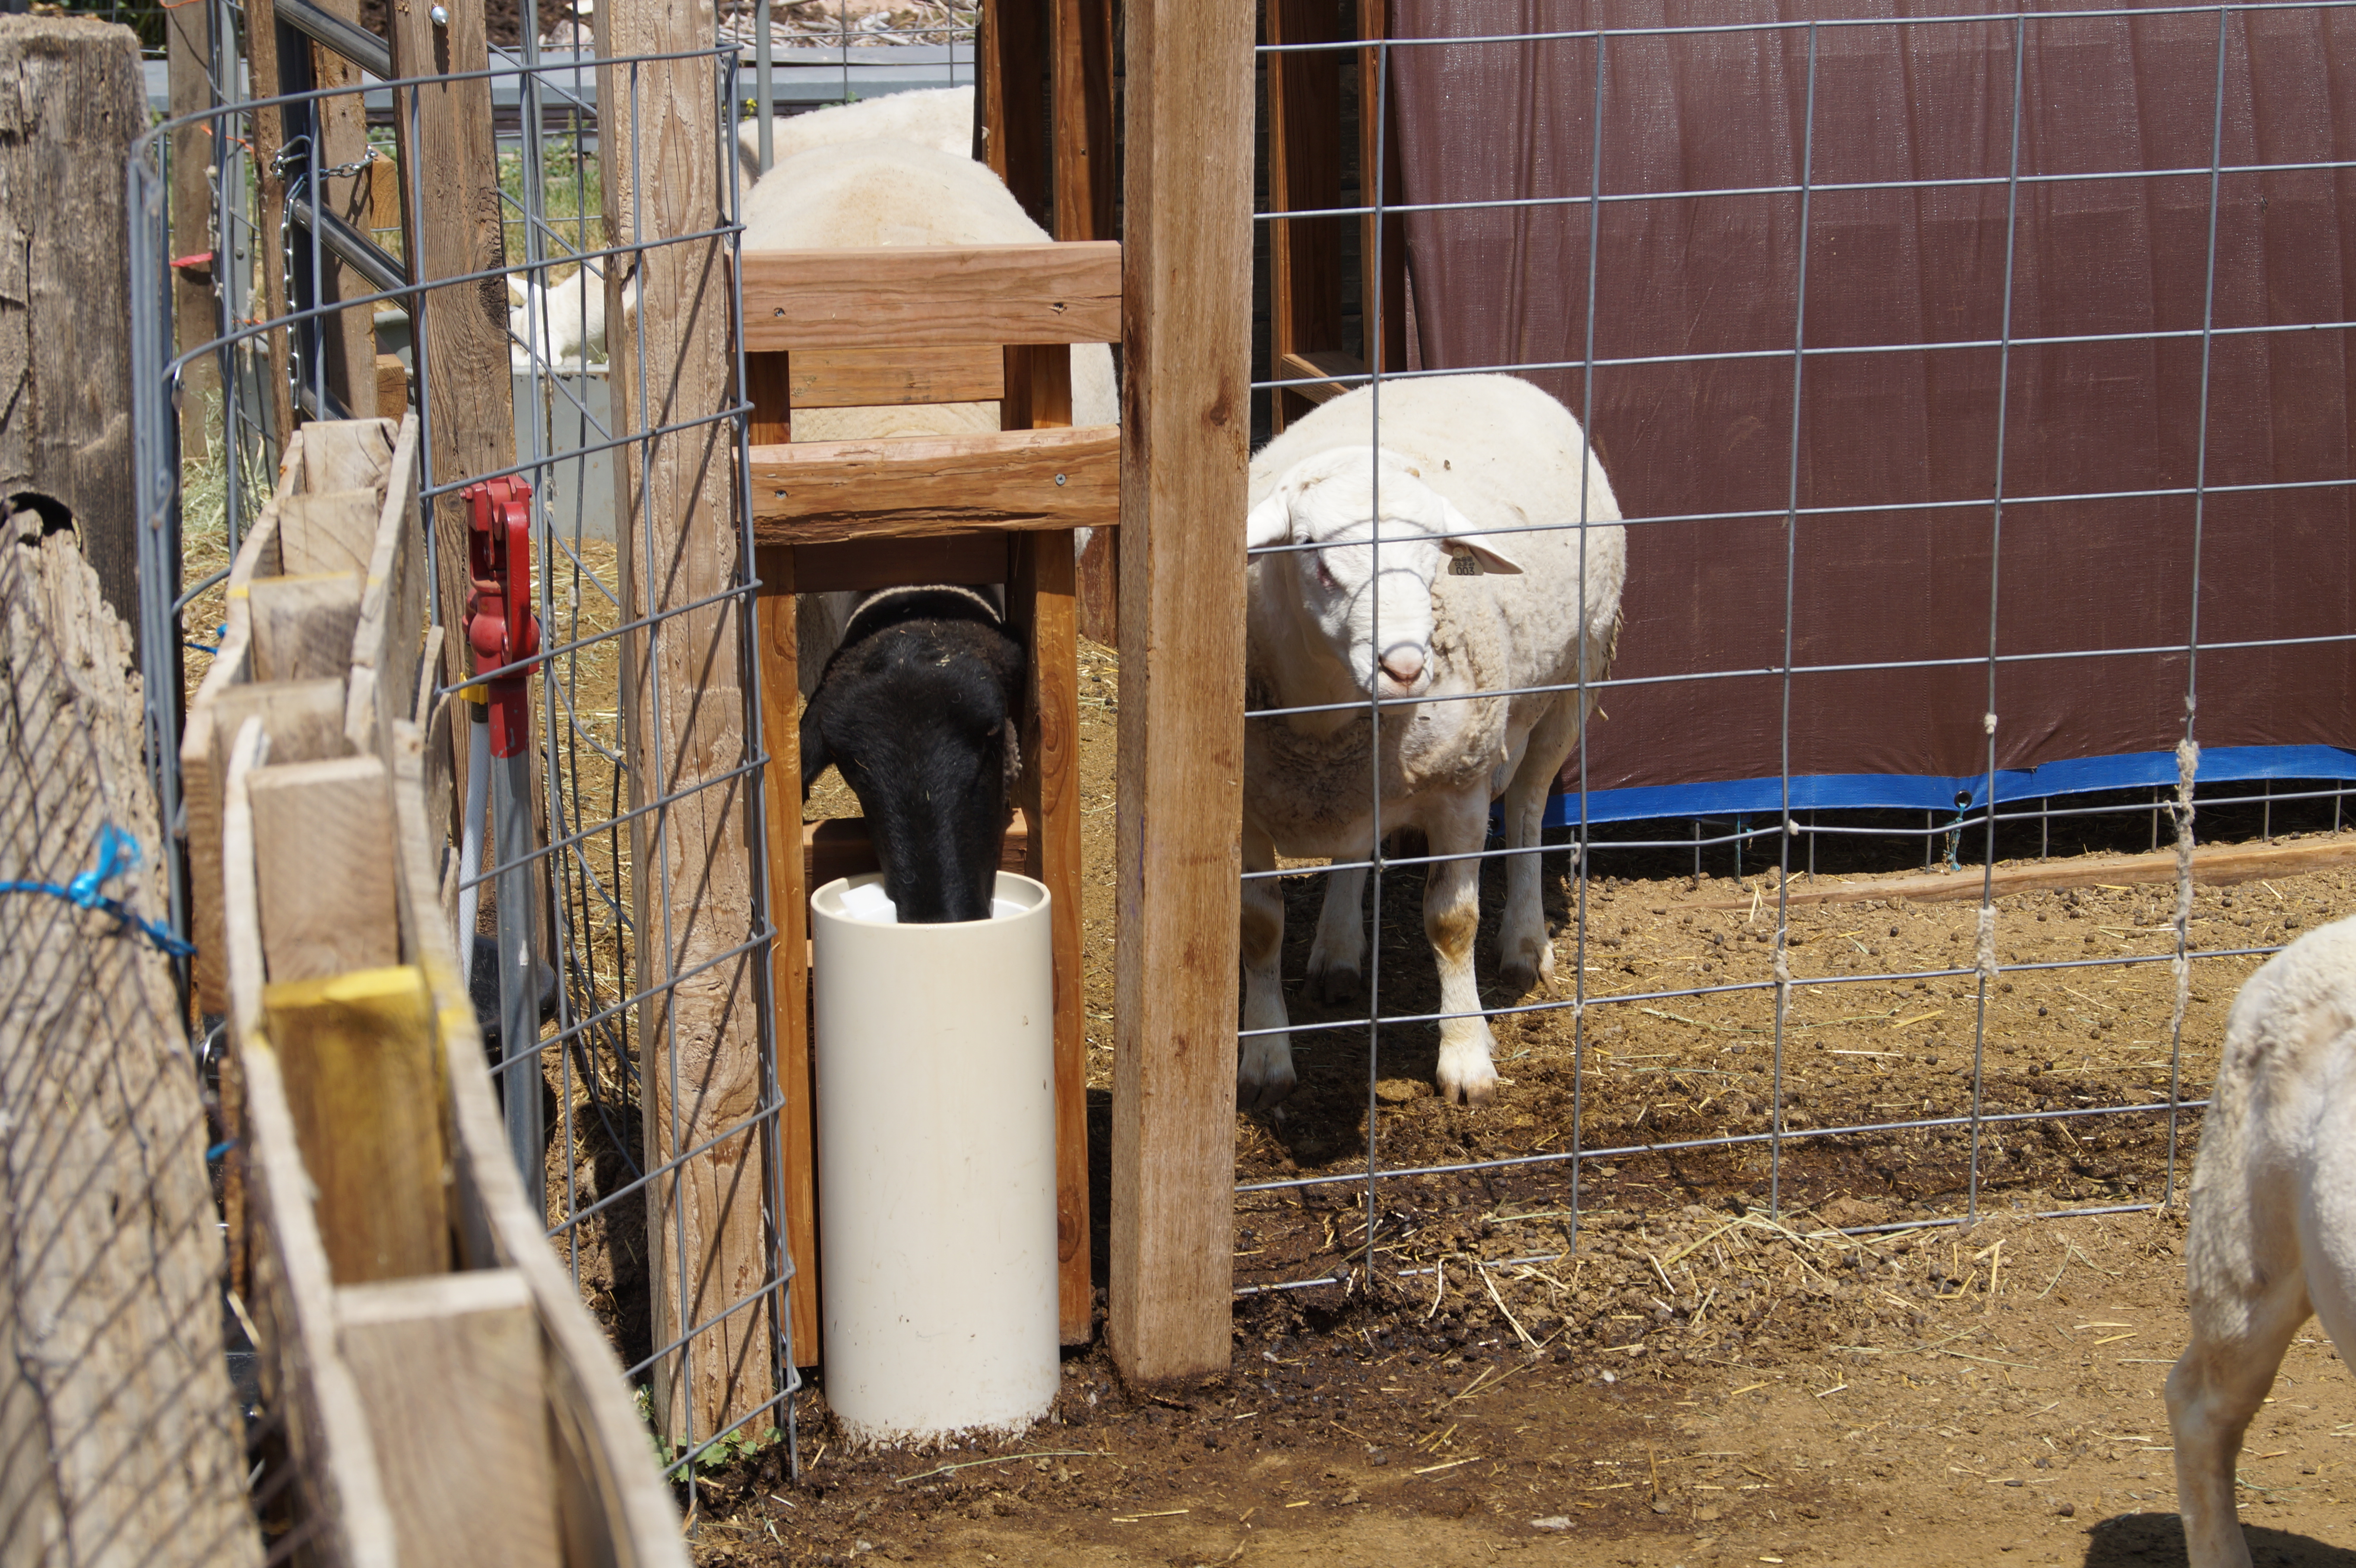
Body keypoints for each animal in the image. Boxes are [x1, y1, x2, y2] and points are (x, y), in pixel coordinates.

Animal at [1244, 372, 1630, 1106]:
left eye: (1437, 561)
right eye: (1313, 555)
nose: (1404, 667)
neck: (1324, 717)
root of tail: (1485, 377)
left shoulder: (1461, 789)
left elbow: (1452, 923)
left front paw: (1465, 1056)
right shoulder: (1245, 806)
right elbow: (1262, 926)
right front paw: (1265, 1062)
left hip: (1578, 676)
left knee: (1530, 808)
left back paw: (1524, 943)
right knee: (1353, 846)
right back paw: (1339, 949)